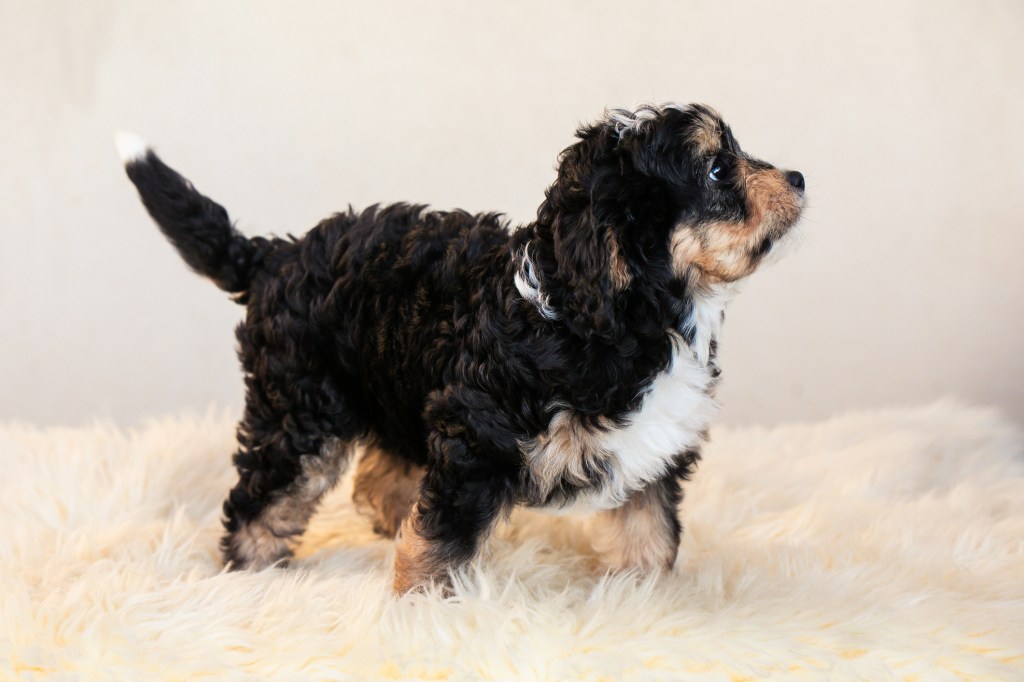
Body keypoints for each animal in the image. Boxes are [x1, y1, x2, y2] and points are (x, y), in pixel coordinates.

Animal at [119, 103, 802, 593]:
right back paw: (253, 571)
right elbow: (443, 538)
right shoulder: (478, 435)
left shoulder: (654, 445)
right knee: (265, 493)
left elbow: (649, 526)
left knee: (379, 472)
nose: (797, 177)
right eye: (718, 169)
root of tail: (276, 255)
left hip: (395, 388)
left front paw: (643, 595)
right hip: (300, 407)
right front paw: (424, 610)